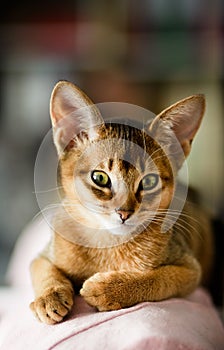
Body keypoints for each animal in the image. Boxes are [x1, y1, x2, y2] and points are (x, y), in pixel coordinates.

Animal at [29, 80, 214, 324]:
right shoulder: (42, 256)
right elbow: (44, 270)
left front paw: (109, 289)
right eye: (100, 178)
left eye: (150, 181)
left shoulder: (190, 269)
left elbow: (159, 278)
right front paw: (49, 296)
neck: (108, 243)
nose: (124, 213)